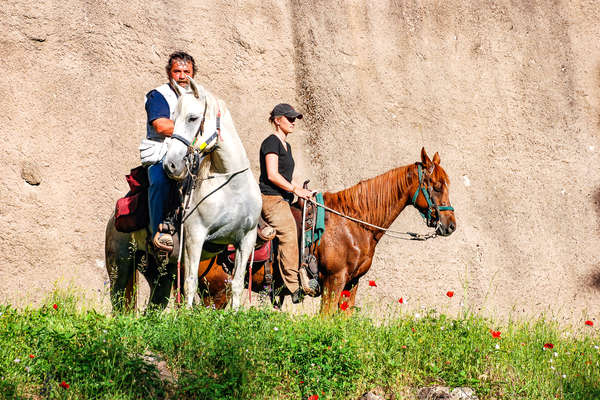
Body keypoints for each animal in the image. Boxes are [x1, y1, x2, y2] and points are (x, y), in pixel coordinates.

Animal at [164, 78, 260, 310]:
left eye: (192, 118)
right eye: (173, 118)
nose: (170, 165)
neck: (232, 187)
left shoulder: (246, 238)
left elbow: (236, 284)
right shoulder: (195, 237)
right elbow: (190, 283)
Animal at [196, 148, 454, 314]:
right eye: (436, 186)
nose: (451, 225)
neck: (352, 224)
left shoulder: (351, 284)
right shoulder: (333, 281)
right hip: (217, 292)